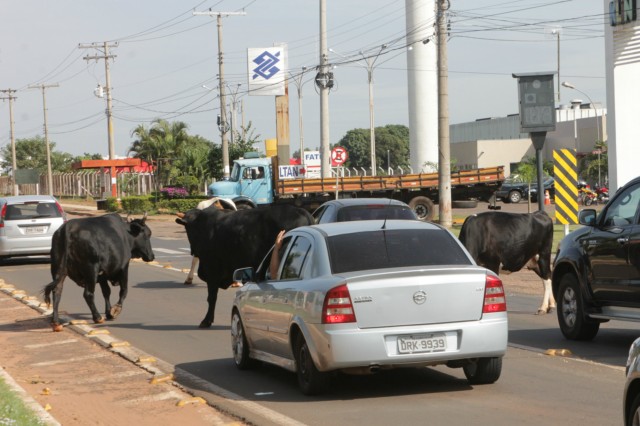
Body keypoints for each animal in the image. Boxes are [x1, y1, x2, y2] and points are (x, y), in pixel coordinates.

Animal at [175, 205, 316, 328]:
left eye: (188, 229)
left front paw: (206, 321)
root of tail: (302, 211)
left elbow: (211, 297)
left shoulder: (212, 271)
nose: (193, 251)